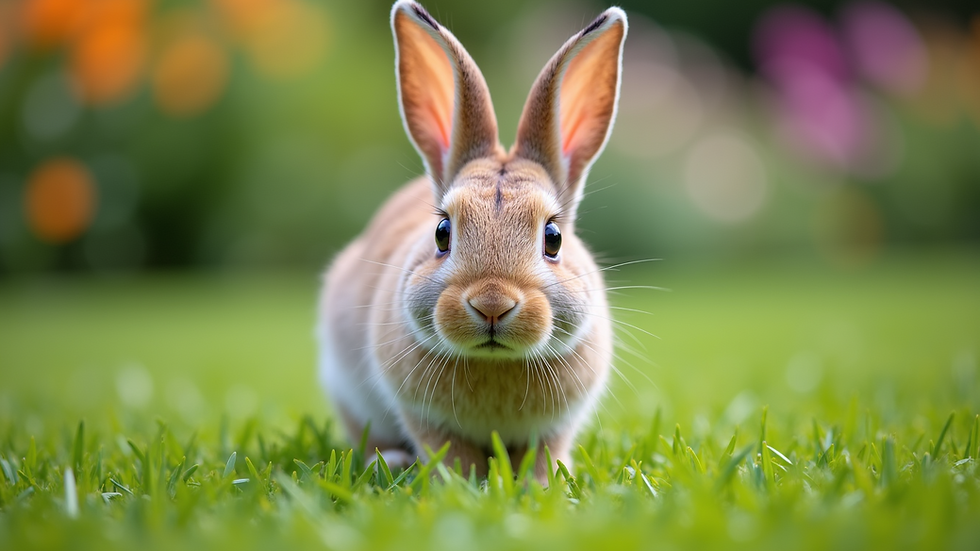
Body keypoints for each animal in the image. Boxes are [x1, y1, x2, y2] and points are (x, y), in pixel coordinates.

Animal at [318, 0, 627, 481]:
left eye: (553, 238)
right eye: (442, 233)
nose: (492, 304)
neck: (494, 361)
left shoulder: (555, 428)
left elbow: (544, 455)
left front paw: (540, 485)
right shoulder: (424, 419)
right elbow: (451, 455)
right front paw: (463, 484)